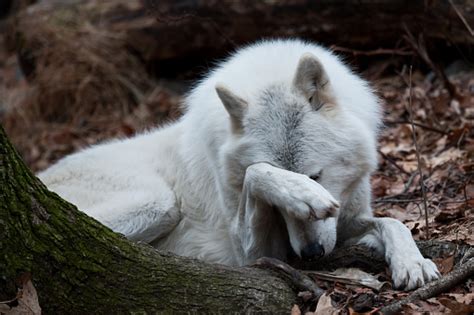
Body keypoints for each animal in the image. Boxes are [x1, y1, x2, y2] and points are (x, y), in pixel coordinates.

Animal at [39, 39, 438, 292]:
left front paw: (412, 261)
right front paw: (296, 192)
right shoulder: (257, 254)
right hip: (158, 204)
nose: (310, 254)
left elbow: (391, 222)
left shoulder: (347, 217)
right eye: (306, 186)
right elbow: (254, 172)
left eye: (317, 175)